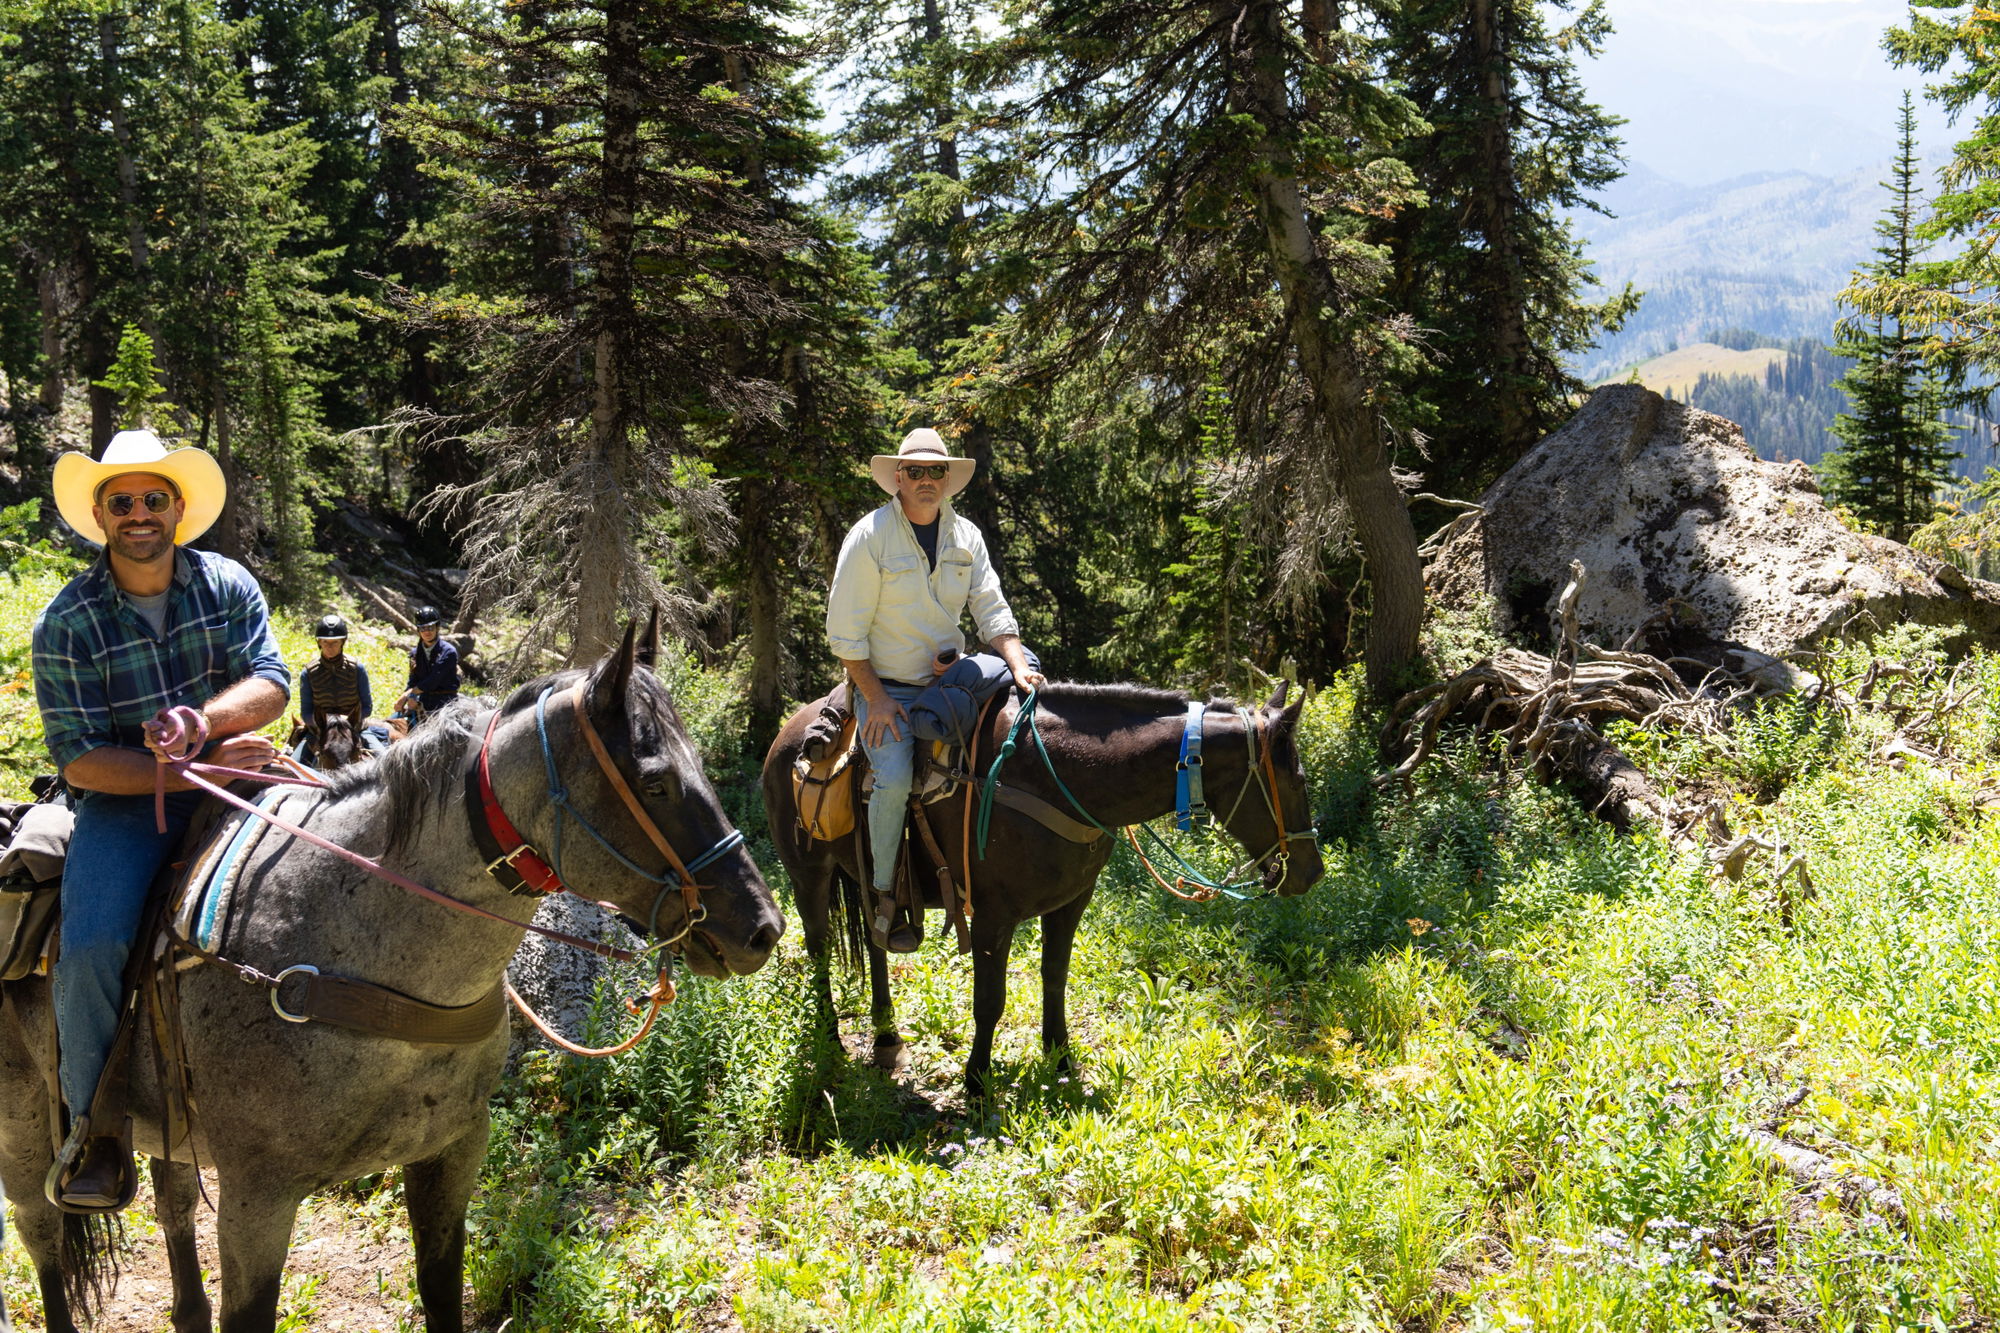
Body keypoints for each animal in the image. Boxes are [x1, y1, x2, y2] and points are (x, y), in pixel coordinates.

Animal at [0, 623, 785, 1333]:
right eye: (655, 782)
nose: (761, 928)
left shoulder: (451, 1154)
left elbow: (441, 1292)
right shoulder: (258, 1195)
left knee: (173, 1209)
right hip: (26, 1124)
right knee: (44, 1239)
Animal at [761, 681, 1321, 1099]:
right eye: (1296, 780)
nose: (1312, 873)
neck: (1059, 775)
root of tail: (788, 730)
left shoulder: (1071, 903)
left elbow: (1055, 977)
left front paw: (1061, 1060)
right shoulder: (992, 915)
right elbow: (990, 999)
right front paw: (977, 1080)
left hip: (870, 879)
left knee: (877, 943)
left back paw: (885, 1036)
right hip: (808, 875)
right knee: (818, 950)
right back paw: (831, 1041)